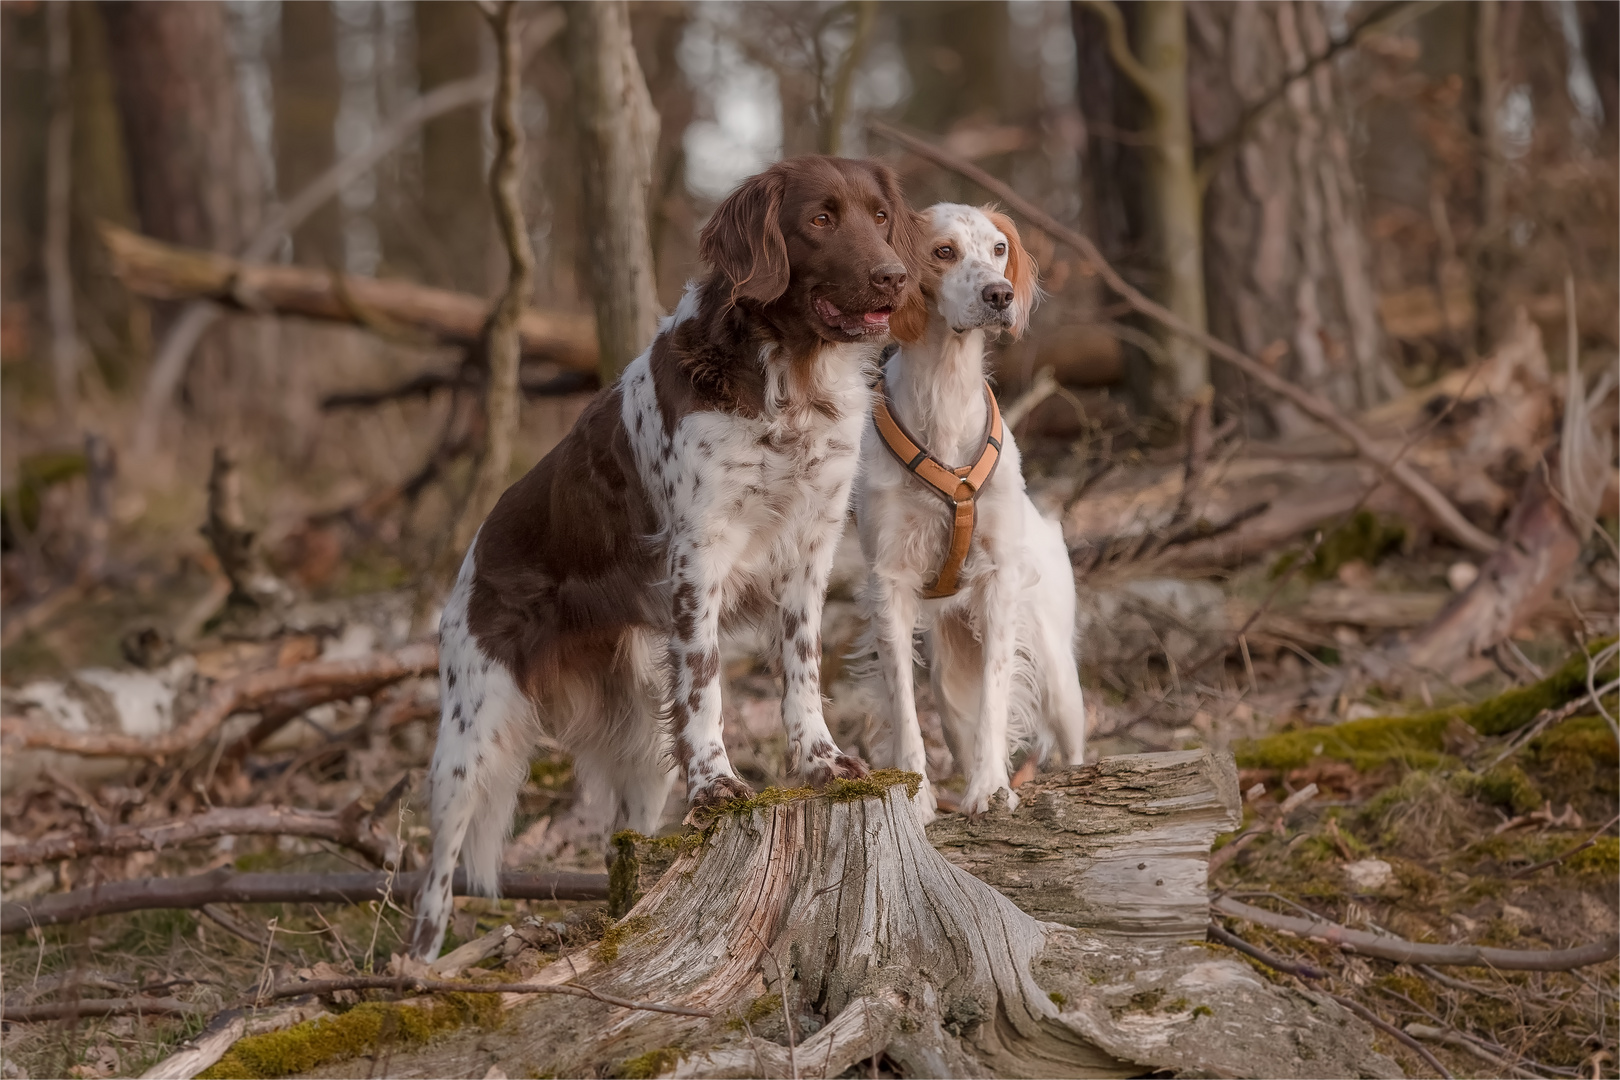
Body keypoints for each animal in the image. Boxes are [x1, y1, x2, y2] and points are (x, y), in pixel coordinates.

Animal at [411, 156, 933, 958]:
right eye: (820, 219)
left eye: (880, 217)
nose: (892, 276)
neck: (791, 379)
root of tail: (473, 553)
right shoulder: (698, 558)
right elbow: (706, 687)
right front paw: (718, 784)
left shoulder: (810, 550)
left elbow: (803, 670)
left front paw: (819, 760)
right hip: (469, 742)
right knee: (435, 880)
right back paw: (417, 969)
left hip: (633, 746)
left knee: (625, 834)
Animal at [848, 207, 1088, 822]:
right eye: (944, 251)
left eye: (999, 248)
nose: (999, 294)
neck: (946, 394)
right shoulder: (890, 582)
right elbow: (903, 704)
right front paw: (916, 793)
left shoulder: (999, 582)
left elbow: (997, 697)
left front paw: (990, 788)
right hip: (949, 674)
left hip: (1058, 671)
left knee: (1072, 741)